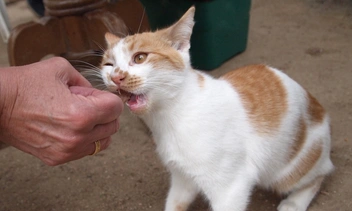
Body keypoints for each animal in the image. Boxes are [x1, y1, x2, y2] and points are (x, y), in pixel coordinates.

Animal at [98, 6, 332, 211]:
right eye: (108, 65)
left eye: (140, 58)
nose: (116, 77)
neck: (172, 117)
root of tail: (320, 110)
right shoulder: (182, 177)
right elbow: (175, 203)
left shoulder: (230, 188)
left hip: (288, 169)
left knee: (322, 173)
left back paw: (295, 202)